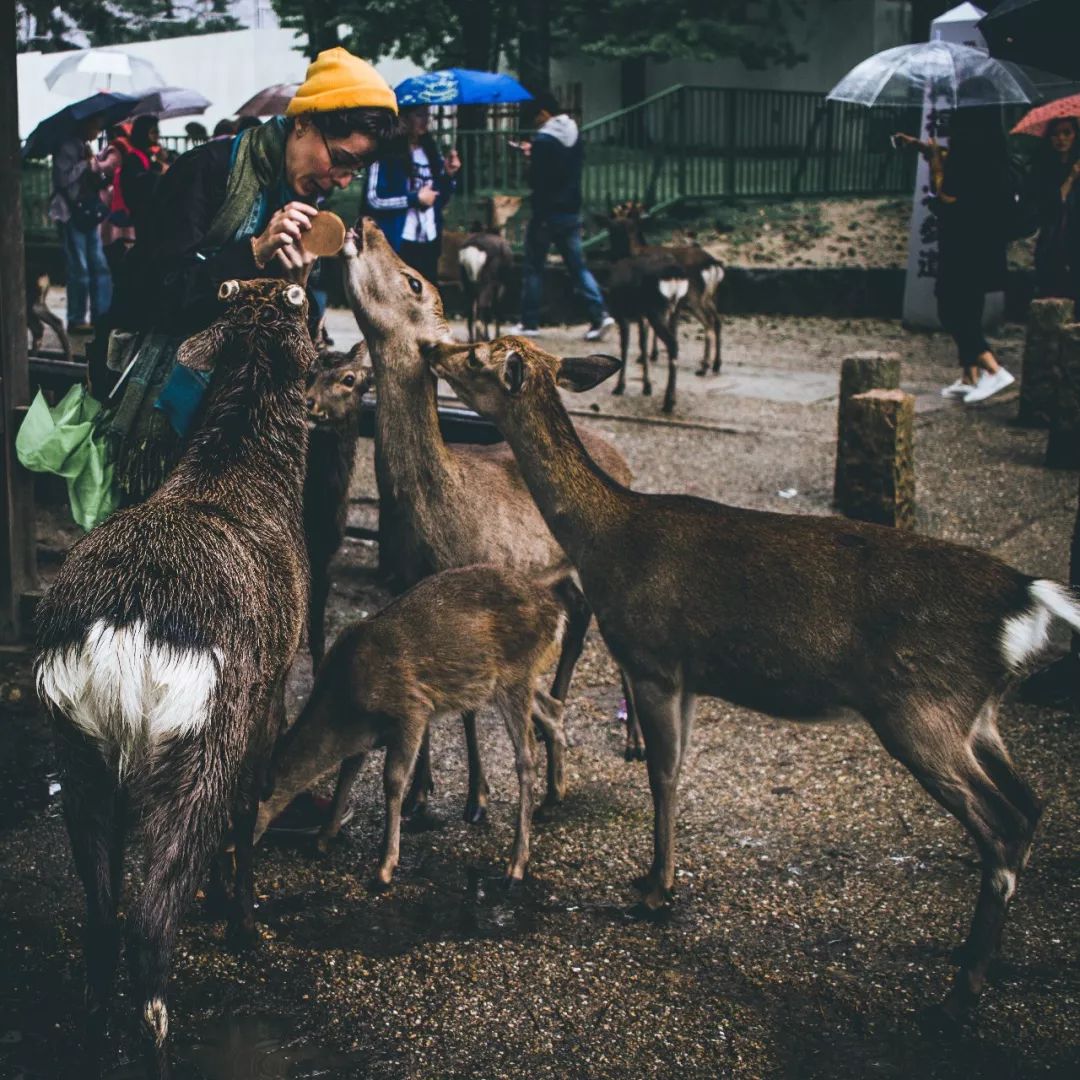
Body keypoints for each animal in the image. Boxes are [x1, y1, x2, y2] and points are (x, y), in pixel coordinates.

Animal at [35, 280, 315, 1080]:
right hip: (196, 742)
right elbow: (252, 805)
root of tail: (121, 635)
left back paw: (93, 1039)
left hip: (76, 744)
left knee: (101, 916)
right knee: (150, 925)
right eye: (307, 304)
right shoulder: (274, 686)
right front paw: (244, 923)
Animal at [255, 565, 570, 885]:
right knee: (553, 709)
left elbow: (392, 780)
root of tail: (558, 614)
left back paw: (516, 865)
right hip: (512, 681)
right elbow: (346, 774)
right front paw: (322, 839)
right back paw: (554, 797)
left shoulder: (413, 710)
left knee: (526, 756)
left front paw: (385, 867)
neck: (347, 702)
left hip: (515, 675)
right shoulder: (364, 733)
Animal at [341, 219, 630, 816]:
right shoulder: (407, 586)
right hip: (554, 577)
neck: (440, 527)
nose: (369, 224)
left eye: (414, 281)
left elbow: (471, 703)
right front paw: (421, 794)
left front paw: (475, 796)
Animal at [429, 334, 1080, 1028]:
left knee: (1002, 825)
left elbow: (661, 774)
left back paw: (960, 991)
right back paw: (975, 964)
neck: (606, 540)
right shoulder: (686, 677)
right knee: (1031, 805)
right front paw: (655, 878)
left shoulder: (655, 660)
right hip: (976, 713)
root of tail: (1028, 601)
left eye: (478, 355)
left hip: (921, 709)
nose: (436, 349)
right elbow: (676, 772)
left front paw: (654, 891)